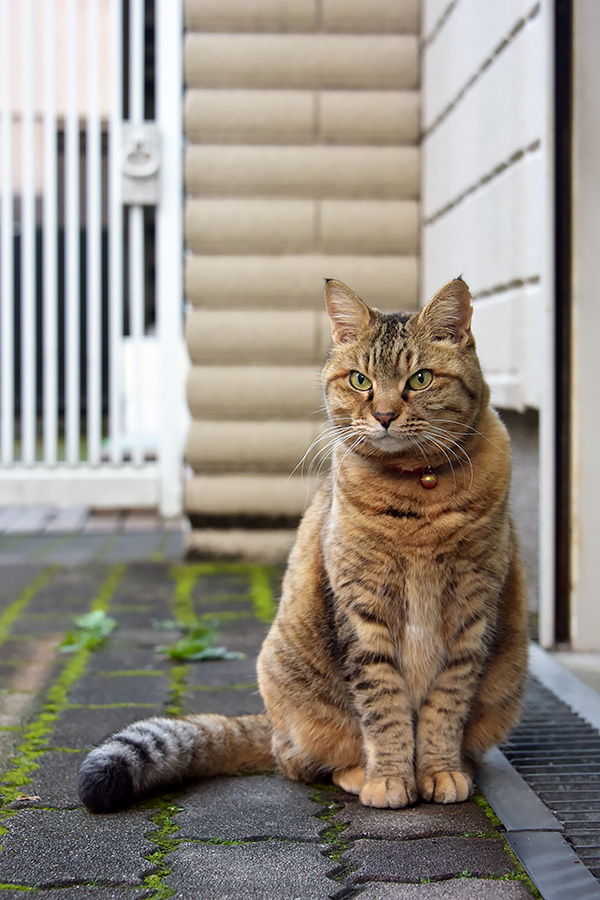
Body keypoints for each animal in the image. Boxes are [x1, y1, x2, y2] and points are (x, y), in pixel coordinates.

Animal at [78, 278, 524, 812]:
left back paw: (461, 767)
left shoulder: (472, 614)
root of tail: (271, 728)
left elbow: (445, 706)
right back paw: (355, 772)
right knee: (299, 761)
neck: (418, 494)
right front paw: (390, 778)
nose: (384, 415)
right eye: (359, 380)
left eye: (419, 379)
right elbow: (383, 707)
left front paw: (438, 771)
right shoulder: (361, 612)